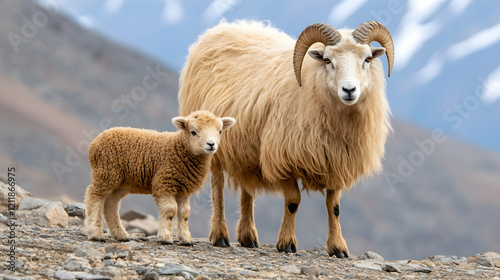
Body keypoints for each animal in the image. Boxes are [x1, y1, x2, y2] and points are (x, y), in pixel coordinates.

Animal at [83, 110, 236, 244]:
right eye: (193, 132)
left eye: (220, 131)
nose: (211, 144)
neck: (178, 147)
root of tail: (94, 144)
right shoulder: (164, 183)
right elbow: (170, 210)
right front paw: (166, 237)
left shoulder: (183, 189)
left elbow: (185, 213)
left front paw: (185, 239)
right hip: (106, 172)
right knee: (94, 197)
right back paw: (96, 233)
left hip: (120, 182)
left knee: (111, 203)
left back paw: (120, 235)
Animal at [180, 20, 394, 258]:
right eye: (328, 60)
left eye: (367, 59)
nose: (349, 90)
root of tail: (221, 28)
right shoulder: (284, 159)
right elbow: (293, 202)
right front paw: (287, 243)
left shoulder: (335, 161)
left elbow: (334, 207)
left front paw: (338, 247)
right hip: (214, 140)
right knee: (217, 189)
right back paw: (220, 235)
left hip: (247, 148)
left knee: (247, 190)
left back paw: (248, 237)